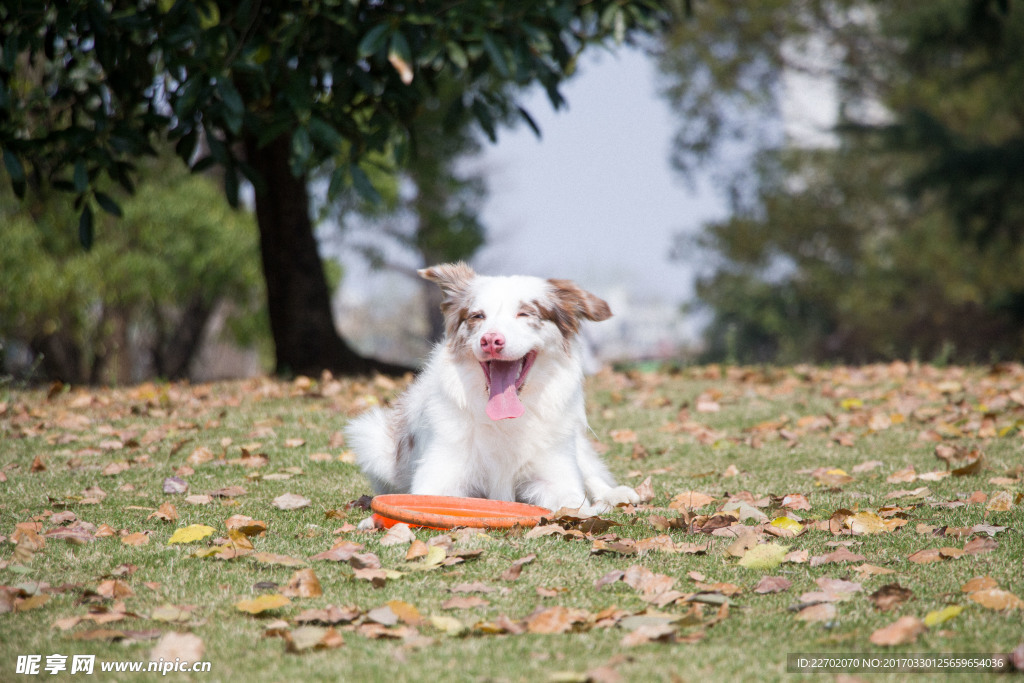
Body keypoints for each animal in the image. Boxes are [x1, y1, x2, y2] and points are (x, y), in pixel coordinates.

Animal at [348, 262, 634, 518]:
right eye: (478, 316)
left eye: (524, 314)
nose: (491, 340)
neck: (506, 422)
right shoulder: (439, 479)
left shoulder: (557, 478)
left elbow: (575, 504)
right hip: (372, 437)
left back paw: (616, 494)